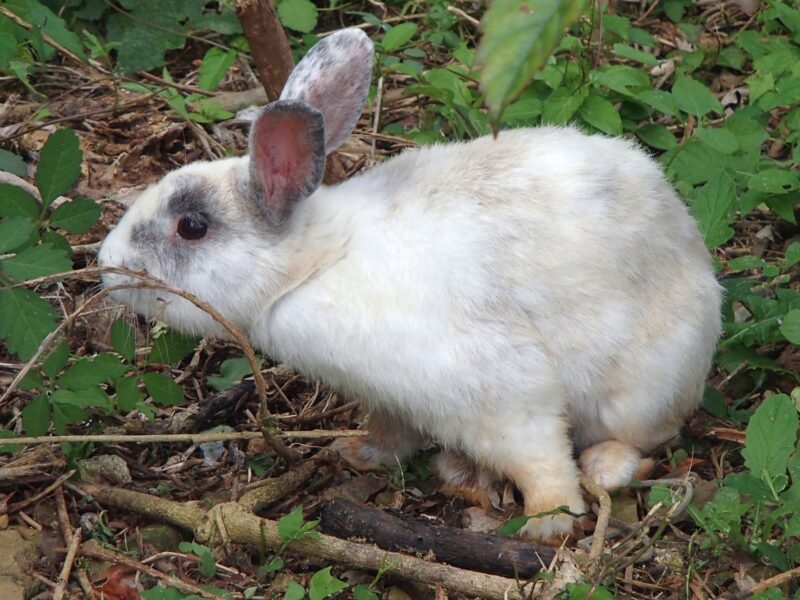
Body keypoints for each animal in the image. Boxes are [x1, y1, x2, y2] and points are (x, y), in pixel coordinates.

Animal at [97, 29, 720, 544]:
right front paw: (357, 453)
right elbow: (392, 435)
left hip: (639, 389)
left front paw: (548, 521)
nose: (106, 265)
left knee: (644, 436)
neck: (315, 265)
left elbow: (539, 455)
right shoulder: (389, 397)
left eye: (192, 227)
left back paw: (602, 468)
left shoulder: (502, 390)